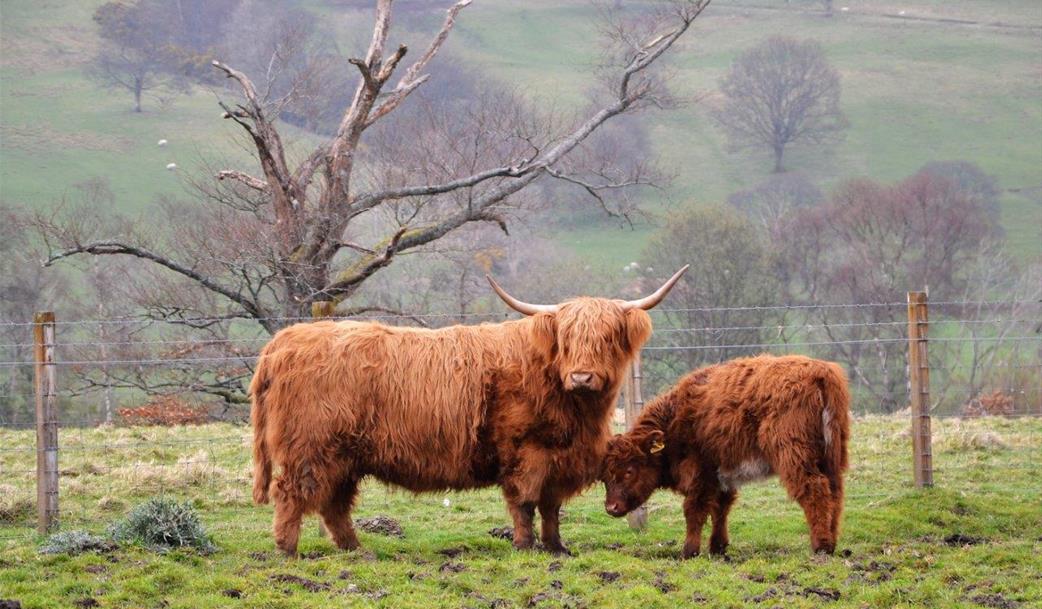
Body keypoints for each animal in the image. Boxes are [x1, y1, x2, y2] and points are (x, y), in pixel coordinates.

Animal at [250, 269, 691, 554]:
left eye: (606, 338)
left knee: (334, 503)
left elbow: (551, 506)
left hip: (344, 456)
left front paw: (557, 548)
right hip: (311, 448)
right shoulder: (525, 451)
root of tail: (283, 341)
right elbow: (524, 501)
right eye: (566, 339)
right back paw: (288, 550)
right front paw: (525, 546)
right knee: (292, 494)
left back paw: (355, 549)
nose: (582, 377)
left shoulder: (559, 459)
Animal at [600, 354, 850, 558]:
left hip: (794, 456)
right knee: (835, 493)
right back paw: (833, 540)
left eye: (629, 471)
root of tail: (820, 371)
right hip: (832, 457)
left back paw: (822, 545)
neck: (676, 418)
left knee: (814, 490)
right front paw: (718, 547)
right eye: (605, 476)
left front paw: (689, 551)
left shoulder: (700, 473)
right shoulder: (721, 473)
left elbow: (694, 510)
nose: (611, 507)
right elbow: (721, 508)